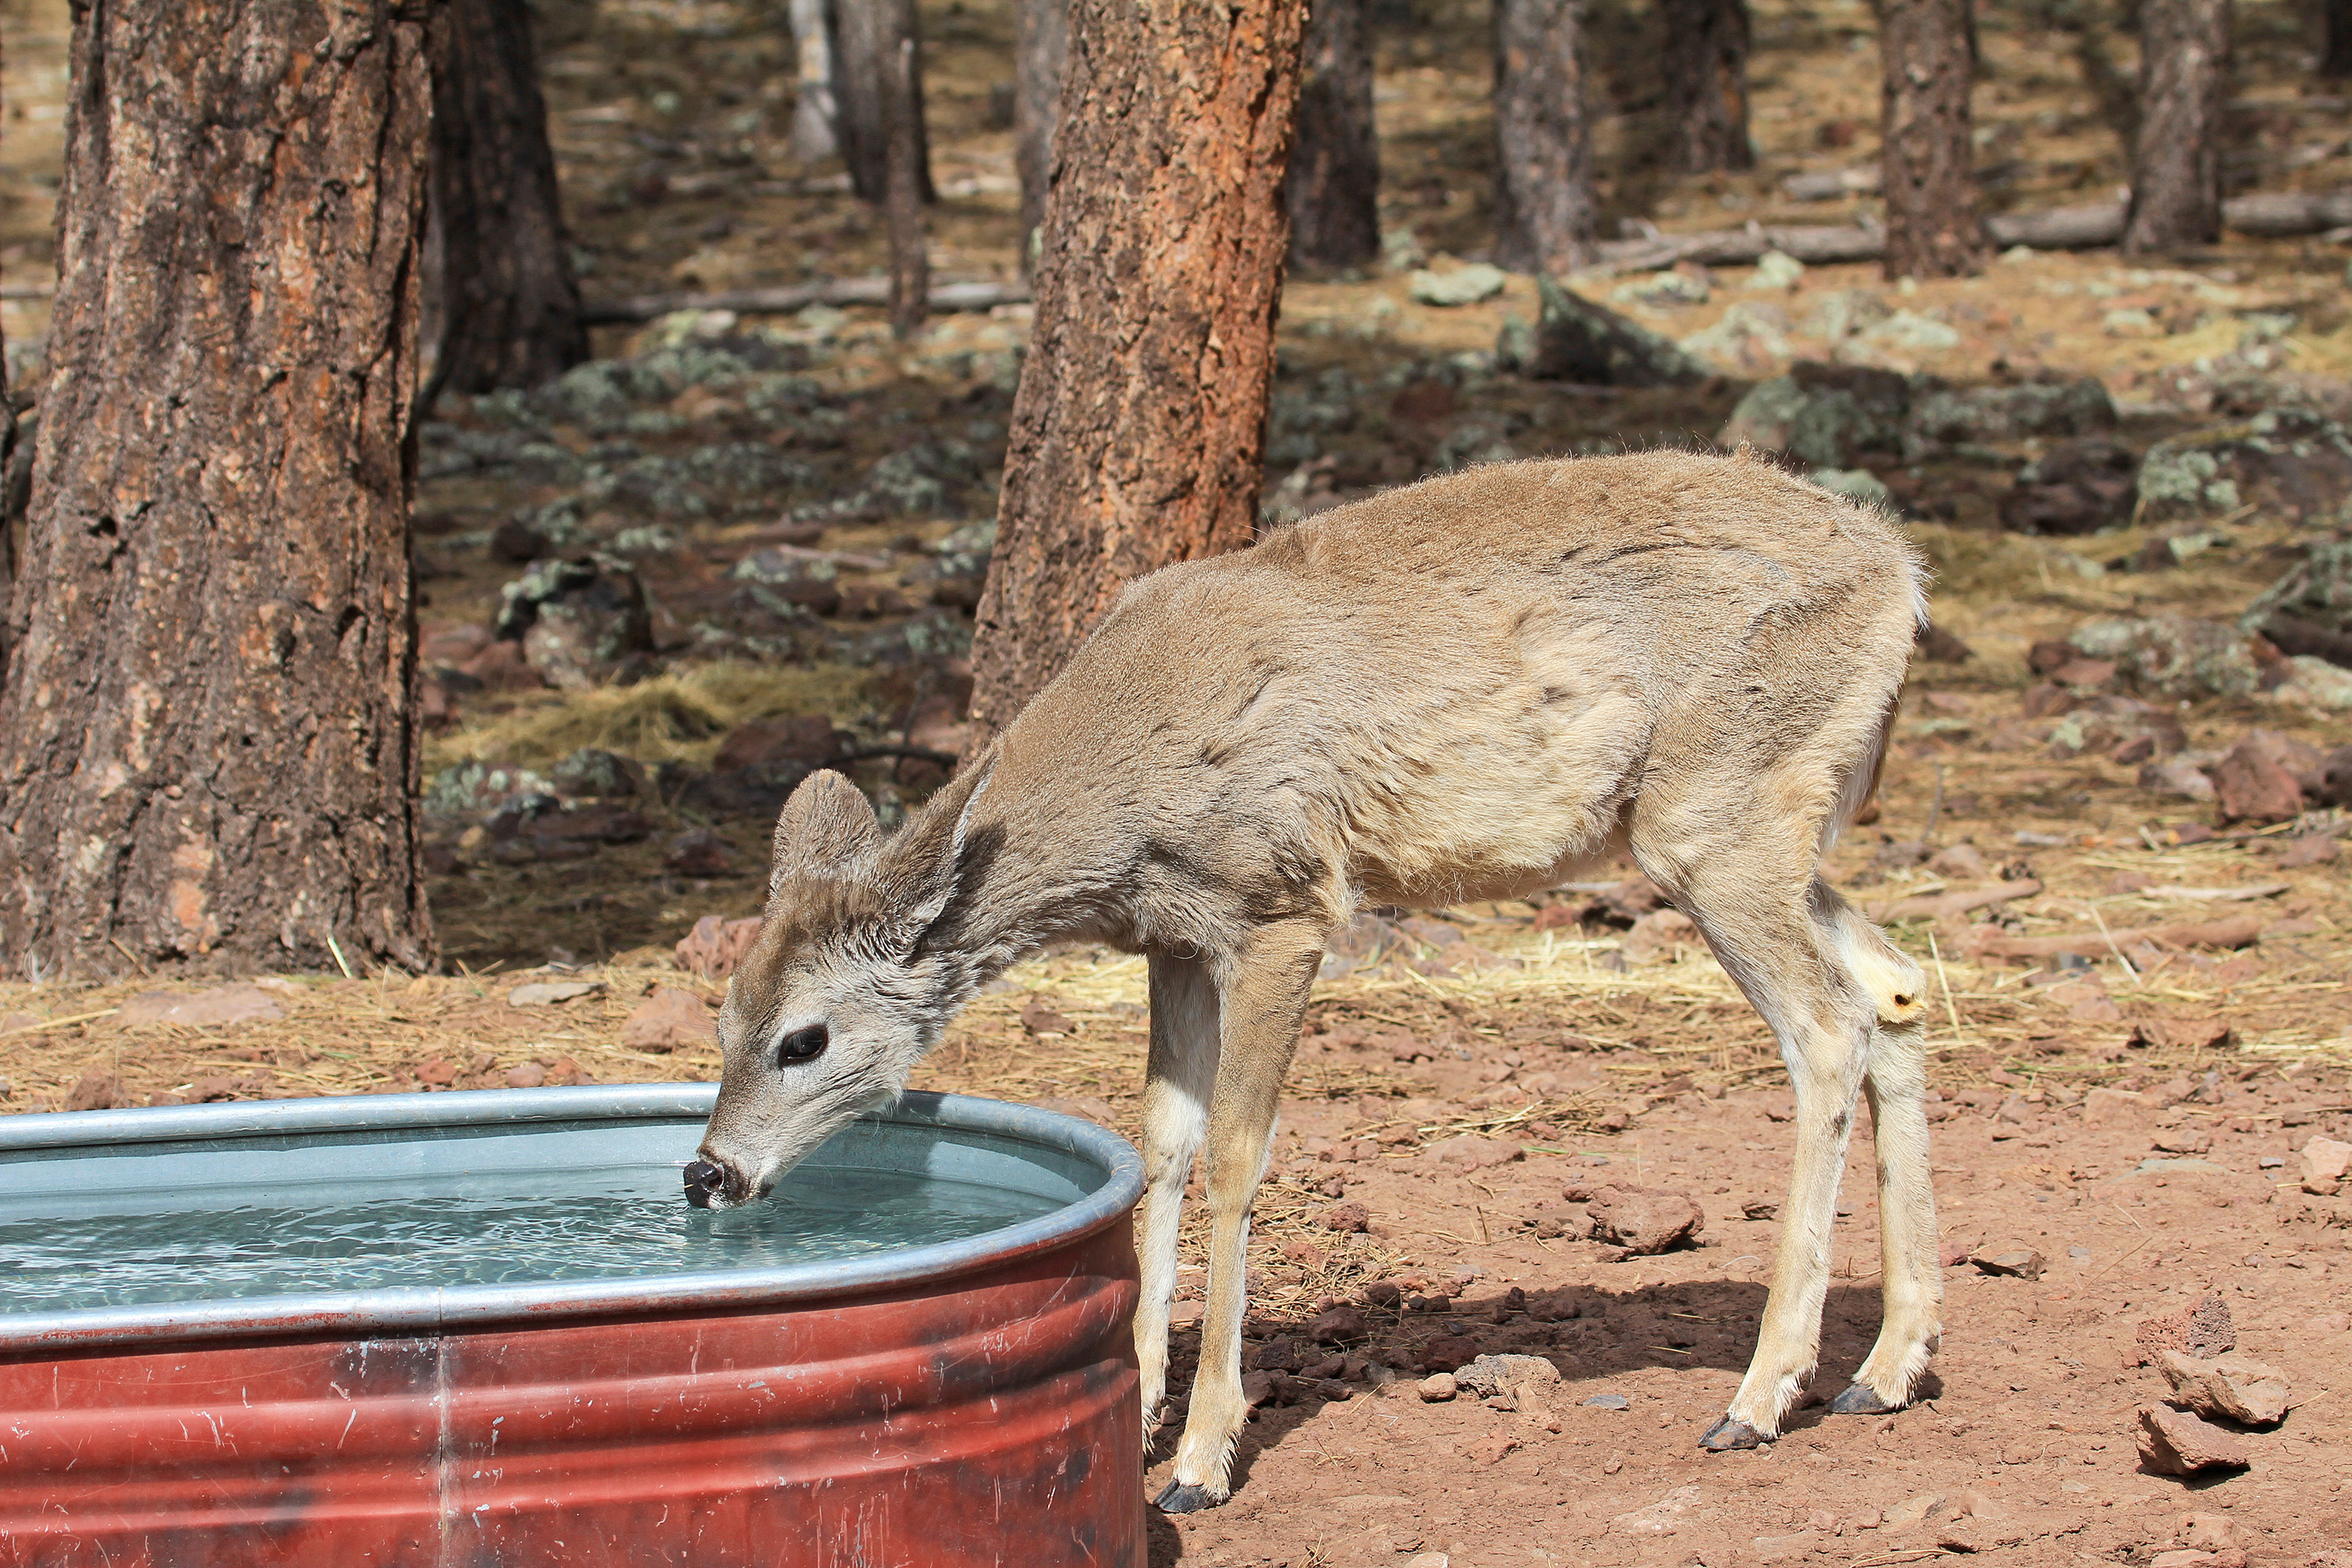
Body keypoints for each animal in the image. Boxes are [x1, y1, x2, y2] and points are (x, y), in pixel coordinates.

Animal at [683, 448, 1944, 1513]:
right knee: (1894, 991)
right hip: (1774, 827)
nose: (708, 1172)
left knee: (1827, 1027)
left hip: (1713, 812)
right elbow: (1164, 1142)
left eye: (804, 1038)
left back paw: (1760, 1396)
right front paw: (1138, 1397)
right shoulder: (1174, 937)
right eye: (724, 1016)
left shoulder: (1280, 905)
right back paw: (1889, 1365)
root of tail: (1904, 574)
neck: (1123, 797)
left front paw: (1201, 1456)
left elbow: (1240, 1153)